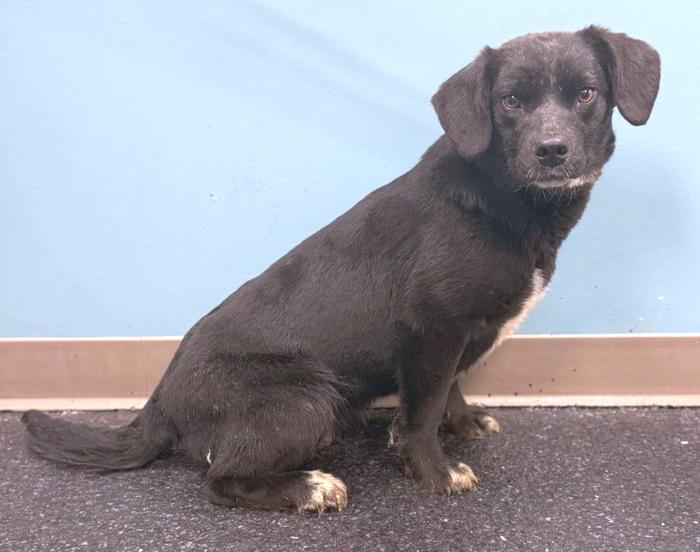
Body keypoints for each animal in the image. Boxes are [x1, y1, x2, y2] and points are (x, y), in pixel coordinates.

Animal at [23, 26, 660, 513]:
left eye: (585, 93)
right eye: (510, 102)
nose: (551, 151)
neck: (504, 196)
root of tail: (159, 402)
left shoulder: (457, 336)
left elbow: (450, 390)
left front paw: (463, 426)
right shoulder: (433, 329)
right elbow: (423, 411)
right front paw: (434, 472)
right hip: (308, 396)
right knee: (221, 481)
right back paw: (308, 487)